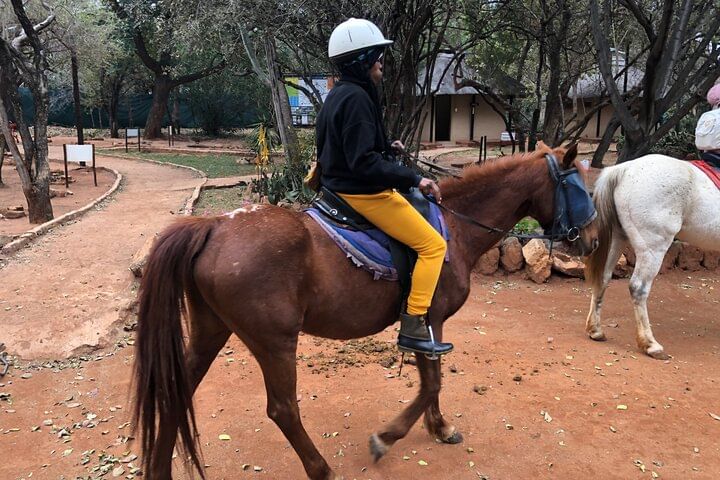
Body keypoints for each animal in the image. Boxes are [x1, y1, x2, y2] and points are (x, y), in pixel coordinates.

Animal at [133, 142, 599, 480]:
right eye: (580, 189)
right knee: (283, 409)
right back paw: (321, 470)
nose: (594, 239)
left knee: (176, 393)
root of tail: (213, 226)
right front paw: (388, 437)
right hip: (275, 342)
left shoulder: (429, 328)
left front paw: (439, 427)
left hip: (212, 332)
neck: (455, 226)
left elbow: (432, 381)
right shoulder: (429, 321)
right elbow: (431, 383)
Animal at [585, 154, 720, 359]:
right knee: (638, 288)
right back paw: (650, 344)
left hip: (617, 237)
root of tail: (624, 168)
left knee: (603, 278)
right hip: (653, 247)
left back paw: (596, 330)